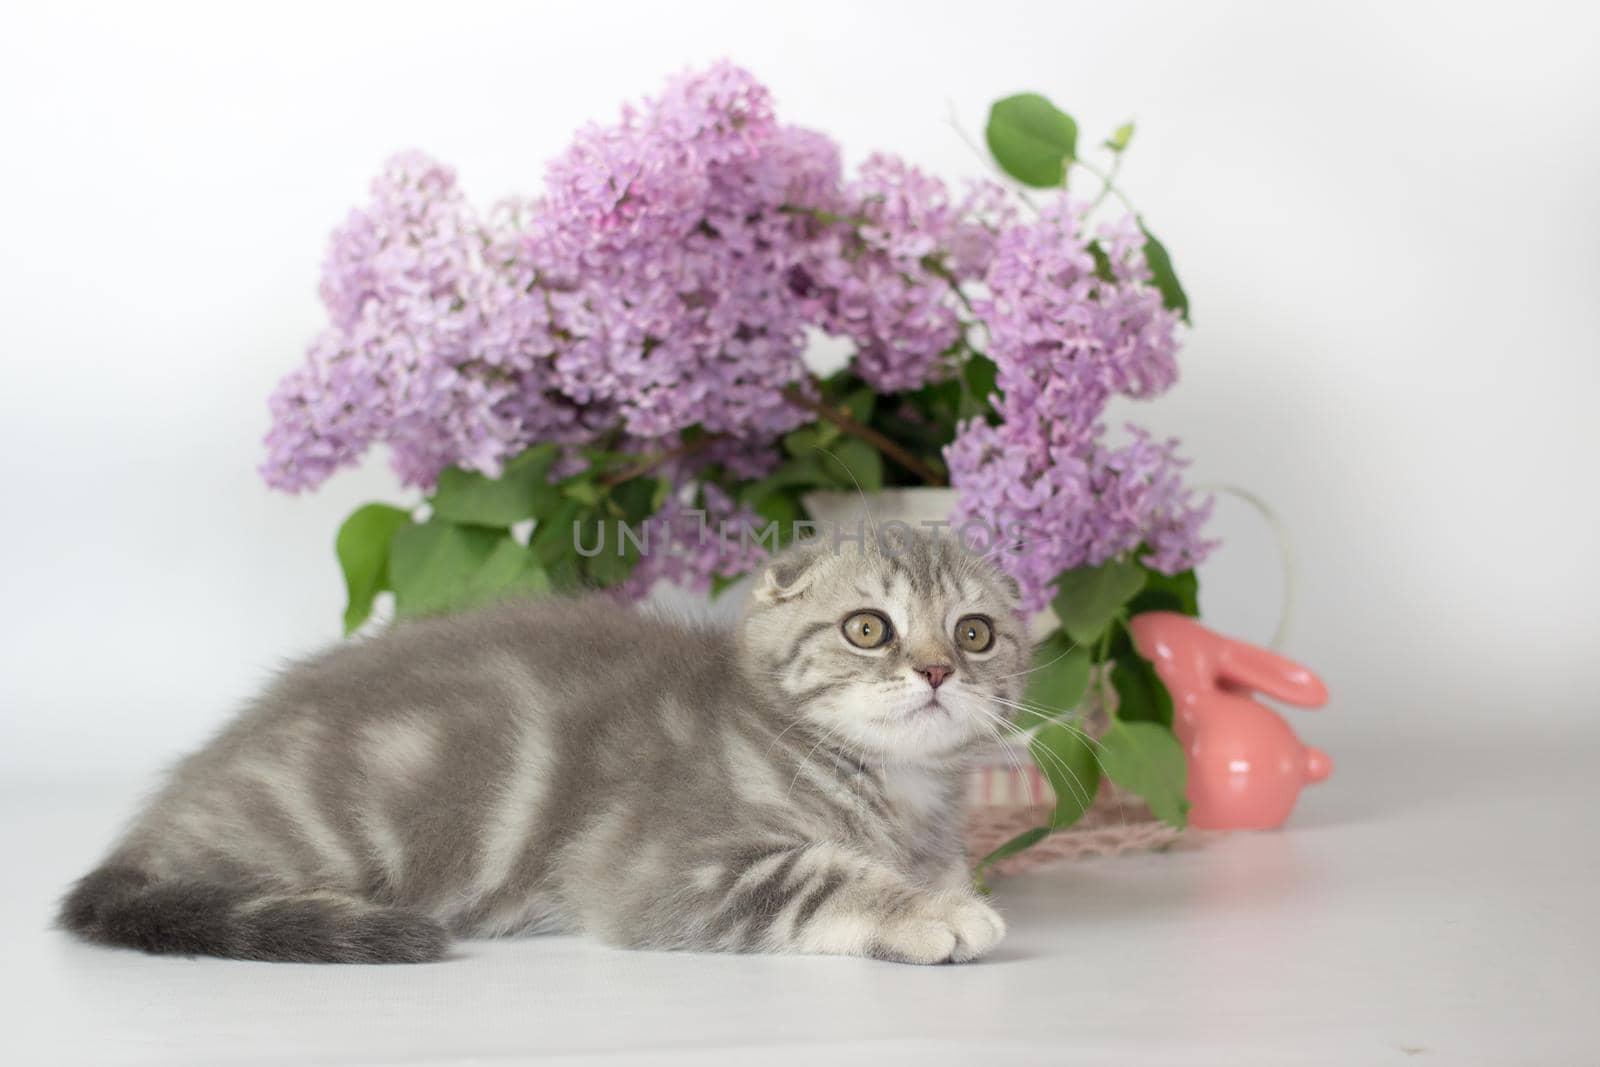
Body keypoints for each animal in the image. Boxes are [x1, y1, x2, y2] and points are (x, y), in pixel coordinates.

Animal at [62, 531, 1024, 966]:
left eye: (975, 632)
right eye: (869, 627)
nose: (937, 668)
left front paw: (944, 887)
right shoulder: (662, 866)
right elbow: (813, 874)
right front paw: (931, 912)